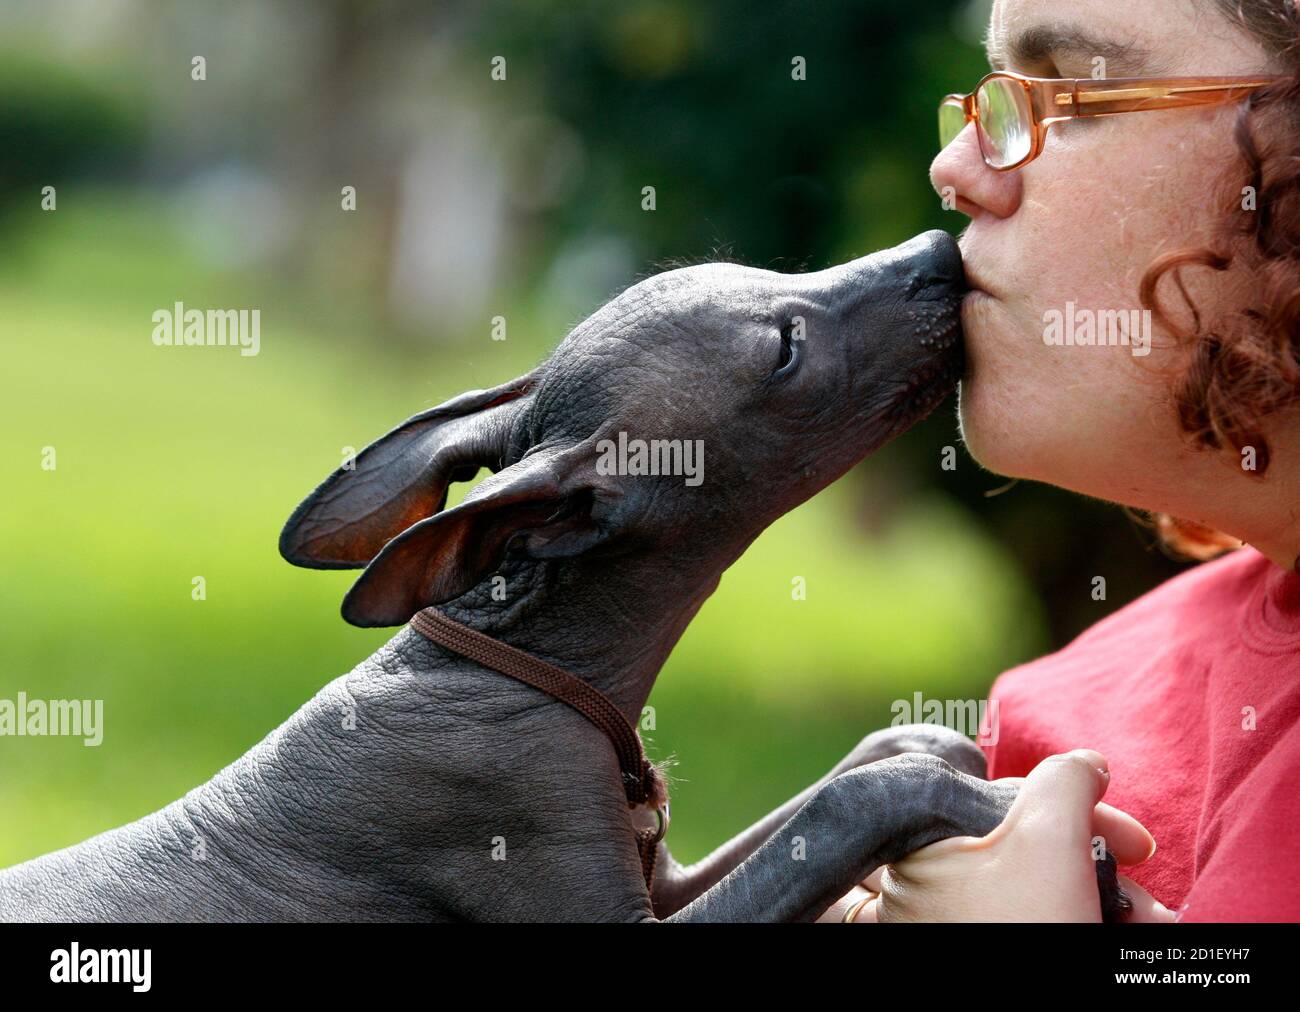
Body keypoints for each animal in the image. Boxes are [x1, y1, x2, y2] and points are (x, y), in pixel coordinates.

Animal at [0, 232, 1123, 920]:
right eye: (785, 348)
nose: (939, 248)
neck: (520, 668)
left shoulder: (664, 874)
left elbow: (831, 790)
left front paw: (932, 747)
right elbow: (849, 806)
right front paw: (979, 803)